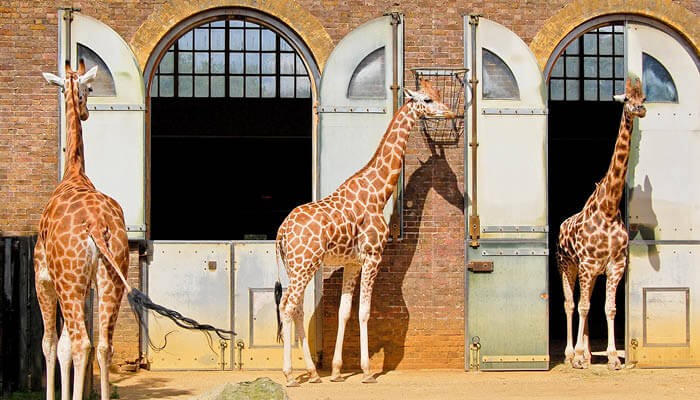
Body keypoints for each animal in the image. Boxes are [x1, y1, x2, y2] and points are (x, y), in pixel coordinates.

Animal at [274, 78, 456, 386]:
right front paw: (368, 371)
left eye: (440, 94)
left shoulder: (353, 262)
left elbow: (344, 312)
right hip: (304, 264)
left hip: (296, 267)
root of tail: (281, 232)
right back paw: (288, 375)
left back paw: (314, 373)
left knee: (295, 308)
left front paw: (336, 371)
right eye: (428, 100)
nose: (451, 112)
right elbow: (364, 312)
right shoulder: (373, 256)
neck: (378, 192)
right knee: (287, 307)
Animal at [557, 76, 646, 370]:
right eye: (627, 99)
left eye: (644, 97)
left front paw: (612, 358)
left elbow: (609, 308)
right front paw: (577, 357)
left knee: (586, 303)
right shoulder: (586, 264)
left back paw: (586, 353)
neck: (608, 208)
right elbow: (582, 306)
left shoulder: (615, 265)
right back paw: (571, 354)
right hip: (567, 266)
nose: (641, 109)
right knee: (571, 303)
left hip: (592, 273)